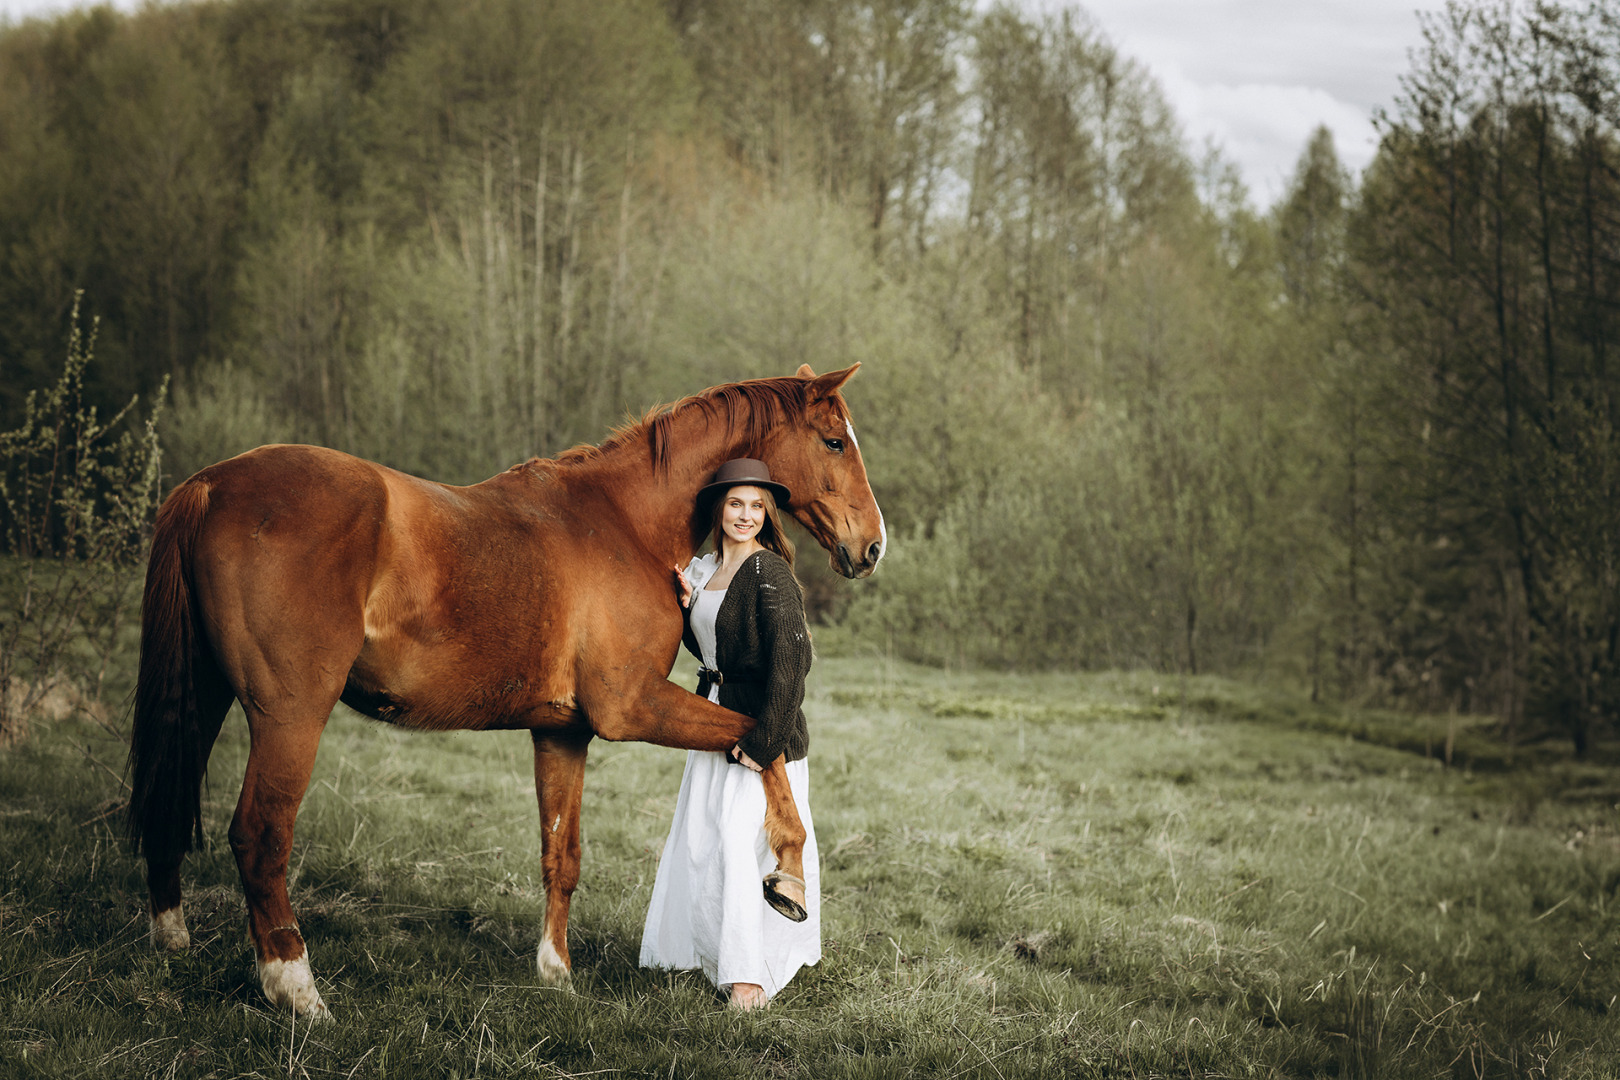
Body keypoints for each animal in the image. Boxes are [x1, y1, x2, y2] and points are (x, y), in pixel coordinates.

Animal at [126, 367, 887, 1016]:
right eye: (833, 440)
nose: (873, 546)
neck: (621, 522)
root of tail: (211, 485)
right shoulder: (633, 708)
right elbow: (760, 744)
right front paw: (788, 873)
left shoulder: (564, 730)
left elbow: (562, 854)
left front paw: (556, 974)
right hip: (289, 715)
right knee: (260, 836)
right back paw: (297, 990)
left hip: (207, 694)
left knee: (169, 800)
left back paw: (172, 940)